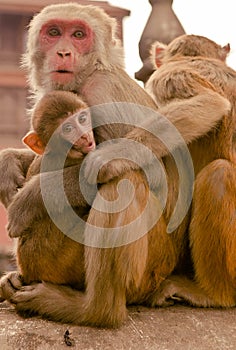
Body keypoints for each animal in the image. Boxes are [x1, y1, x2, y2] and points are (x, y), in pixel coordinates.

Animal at [0, 3, 232, 328]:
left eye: (79, 34)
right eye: (54, 32)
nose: (63, 52)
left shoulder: (101, 93)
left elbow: (145, 169)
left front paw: (32, 197)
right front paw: (8, 166)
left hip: (150, 267)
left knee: (124, 181)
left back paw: (95, 309)